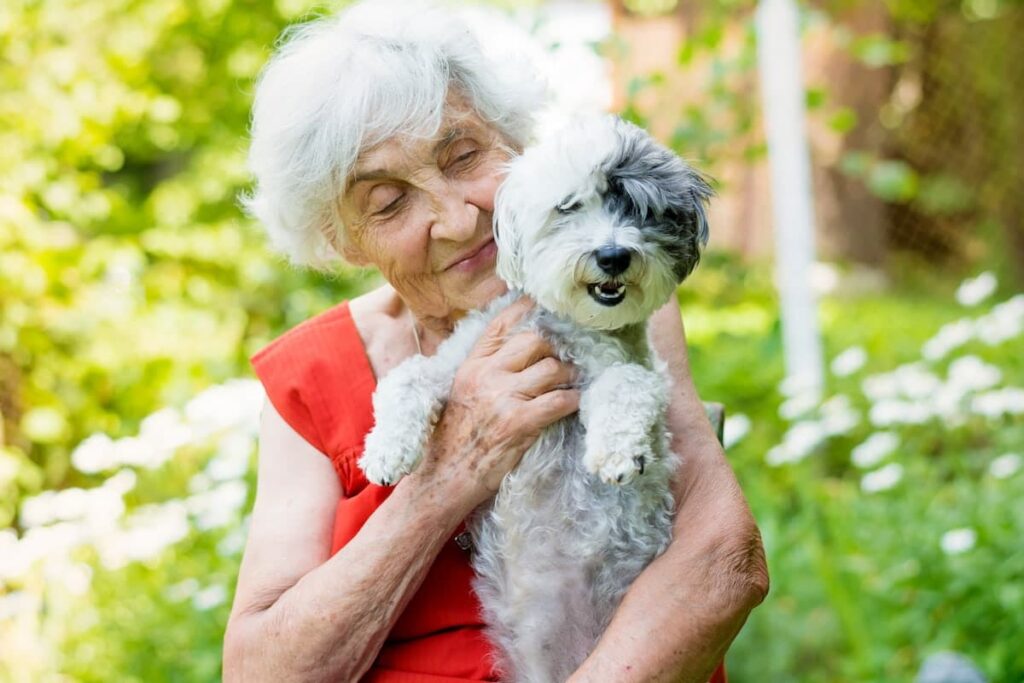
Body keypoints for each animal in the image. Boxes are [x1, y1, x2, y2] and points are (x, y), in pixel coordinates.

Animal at [360, 114, 712, 679]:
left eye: (639, 209)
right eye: (568, 207)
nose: (613, 256)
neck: (563, 325)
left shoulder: (635, 371)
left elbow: (626, 386)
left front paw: (617, 453)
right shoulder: (459, 360)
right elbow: (407, 379)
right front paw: (387, 451)